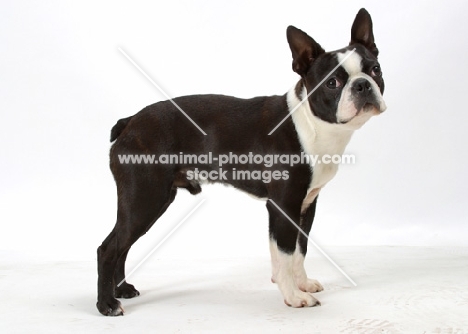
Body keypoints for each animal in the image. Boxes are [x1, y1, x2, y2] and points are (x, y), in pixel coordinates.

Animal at [97, 8, 386, 316]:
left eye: (375, 69)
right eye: (332, 83)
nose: (363, 85)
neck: (312, 124)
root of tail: (130, 122)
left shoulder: (306, 205)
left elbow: (299, 250)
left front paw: (302, 284)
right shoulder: (283, 206)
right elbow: (285, 252)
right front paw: (293, 296)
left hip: (150, 201)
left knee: (122, 246)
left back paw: (122, 291)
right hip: (145, 198)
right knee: (109, 248)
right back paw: (106, 304)